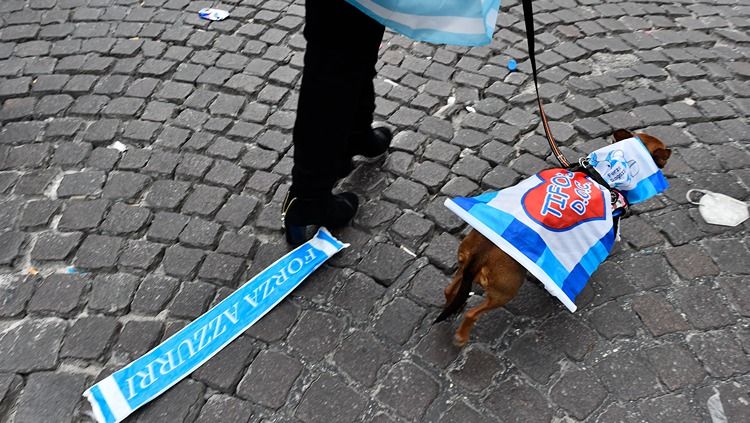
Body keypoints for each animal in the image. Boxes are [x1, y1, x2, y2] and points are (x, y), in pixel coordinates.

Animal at [438, 130, 672, 348]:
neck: (603, 176)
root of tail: (481, 253)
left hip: (464, 267)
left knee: (449, 290)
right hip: (505, 291)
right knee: (473, 314)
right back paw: (461, 336)